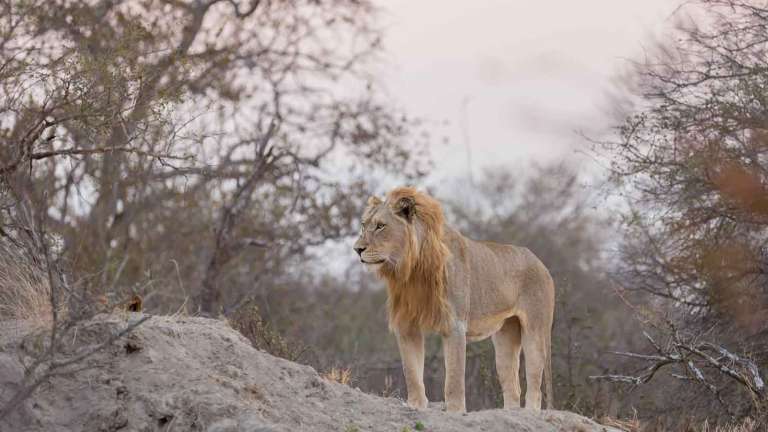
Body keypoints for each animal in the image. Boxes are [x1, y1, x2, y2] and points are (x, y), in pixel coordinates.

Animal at [353, 187, 555, 413]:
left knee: (535, 386)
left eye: (380, 226)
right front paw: (415, 406)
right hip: (506, 335)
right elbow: (412, 372)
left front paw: (456, 411)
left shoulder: (455, 325)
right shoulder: (406, 326)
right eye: (364, 225)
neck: (411, 268)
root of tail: (539, 262)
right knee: (512, 385)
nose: (357, 249)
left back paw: (530, 412)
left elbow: (454, 378)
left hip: (536, 332)